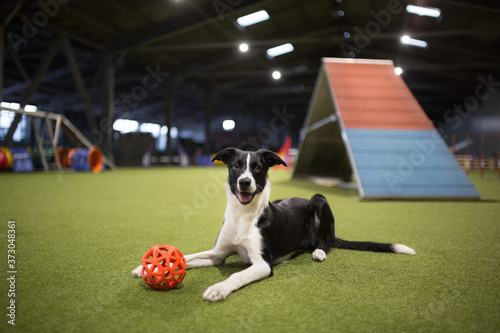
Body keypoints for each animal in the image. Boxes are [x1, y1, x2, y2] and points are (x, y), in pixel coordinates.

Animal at [132, 148, 414, 300]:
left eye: (257, 167)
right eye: (236, 166)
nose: (245, 182)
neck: (243, 215)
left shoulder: (262, 264)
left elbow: (237, 274)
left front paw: (218, 289)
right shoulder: (218, 254)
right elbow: (188, 257)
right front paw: (146, 267)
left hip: (319, 200)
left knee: (327, 242)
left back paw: (318, 251)